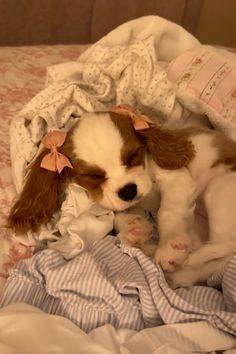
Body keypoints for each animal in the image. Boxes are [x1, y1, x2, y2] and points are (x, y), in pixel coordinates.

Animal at [7, 106, 236, 288]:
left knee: (225, 246)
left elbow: (167, 212)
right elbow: (119, 215)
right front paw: (134, 228)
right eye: (94, 176)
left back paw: (188, 258)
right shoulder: (123, 203)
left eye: (132, 157)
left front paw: (170, 246)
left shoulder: (176, 179)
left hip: (219, 190)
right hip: (199, 224)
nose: (128, 191)